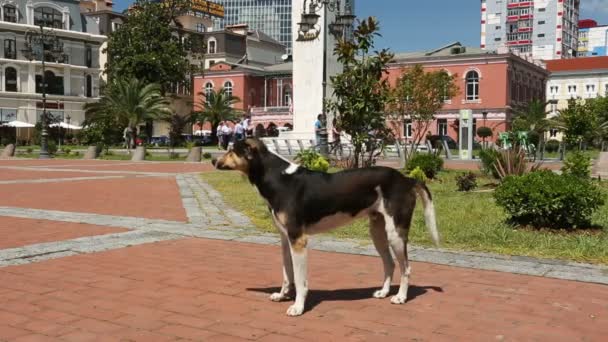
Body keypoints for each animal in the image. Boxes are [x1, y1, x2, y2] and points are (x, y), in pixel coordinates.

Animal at [211, 138, 440, 316]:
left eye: (232, 150)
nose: (213, 160)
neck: (278, 179)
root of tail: (407, 179)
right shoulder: (286, 239)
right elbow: (287, 274)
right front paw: (283, 295)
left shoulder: (299, 240)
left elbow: (300, 280)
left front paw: (298, 307)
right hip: (378, 232)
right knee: (390, 263)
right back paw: (384, 292)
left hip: (396, 233)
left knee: (406, 267)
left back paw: (400, 297)